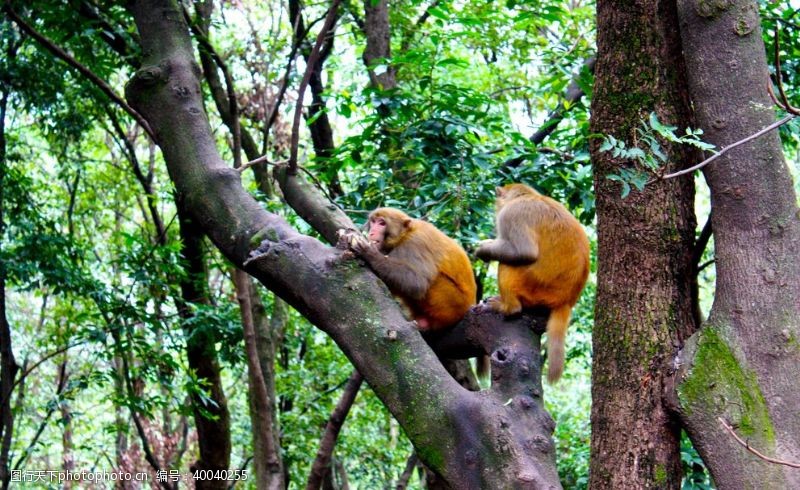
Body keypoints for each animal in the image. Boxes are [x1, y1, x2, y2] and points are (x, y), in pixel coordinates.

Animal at [478, 184, 592, 382]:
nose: (495, 210)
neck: (527, 196)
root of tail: (566, 301)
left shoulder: (511, 215)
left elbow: (525, 253)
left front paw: (484, 249)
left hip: (532, 290)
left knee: (507, 264)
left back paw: (509, 307)